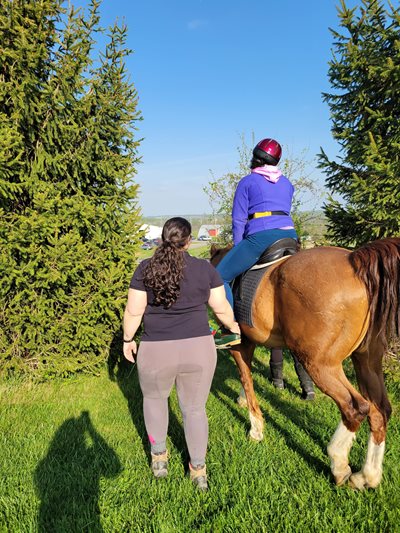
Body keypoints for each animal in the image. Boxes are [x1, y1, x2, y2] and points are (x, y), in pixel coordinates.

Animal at [209, 239, 400, 488]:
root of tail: (354, 260)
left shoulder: (240, 345)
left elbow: (246, 377)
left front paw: (256, 428)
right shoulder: (249, 343)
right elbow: (247, 377)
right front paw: (243, 401)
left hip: (320, 365)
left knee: (355, 407)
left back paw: (339, 463)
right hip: (367, 362)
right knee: (380, 410)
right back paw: (368, 475)